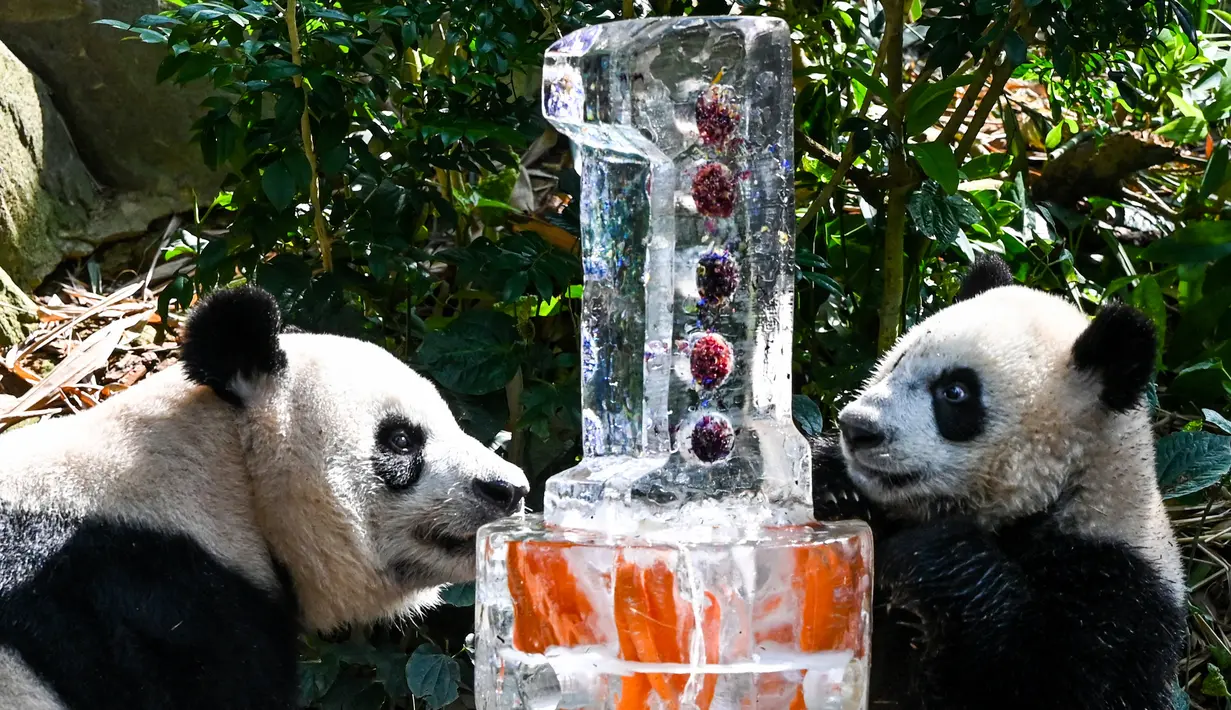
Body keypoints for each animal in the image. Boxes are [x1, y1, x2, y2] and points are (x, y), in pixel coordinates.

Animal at [811, 254, 1186, 710]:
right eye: (897, 362)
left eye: (955, 392)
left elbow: (1047, 681)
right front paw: (834, 489)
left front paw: (932, 560)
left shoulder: (1121, 597)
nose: (858, 427)